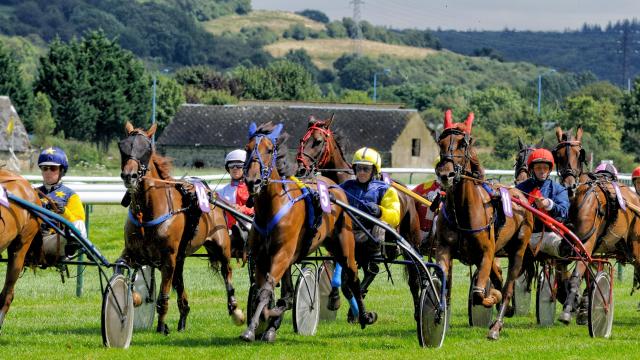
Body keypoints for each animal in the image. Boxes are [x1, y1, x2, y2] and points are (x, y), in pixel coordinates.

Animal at [117, 121, 242, 334]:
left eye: (147, 148)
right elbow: (120, 268)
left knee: (227, 272)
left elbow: (163, 297)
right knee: (180, 282)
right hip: (182, 256)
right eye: (123, 146)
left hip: (221, 244)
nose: (129, 176)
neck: (147, 213)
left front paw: (161, 326)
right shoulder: (132, 253)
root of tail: (210, 193)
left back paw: (234, 309)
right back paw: (183, 319)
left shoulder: (168, 258)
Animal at [239, 121, 370, 344]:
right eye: (247, 149)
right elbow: (263, 292)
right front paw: (265, 321)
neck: (271, 207)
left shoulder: (282, 253)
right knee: (288, 291)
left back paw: (363, 315)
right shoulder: (261, 257)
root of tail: (333, 185)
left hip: (344, 245)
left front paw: (254, 327)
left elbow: (266, 292)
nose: (252, 181)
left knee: (352, 276)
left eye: (269, 149)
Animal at [298, 114, 428, 318]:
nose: (301, 169)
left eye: (318, 141)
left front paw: (344, 301)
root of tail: (407, 193)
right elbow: (340, 271)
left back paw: (417, 310)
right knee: (372, 270)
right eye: (302, 141)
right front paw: (338, 298)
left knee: (413, 276)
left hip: (410, 239)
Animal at [436, 109, 536, 340]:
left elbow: (478, 295)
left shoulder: (486, 252)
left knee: (508, 285)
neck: (463, 210)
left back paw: (496, 325)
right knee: (498, 274)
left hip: (519, 247)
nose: (446, 174)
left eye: (463, 144)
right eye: (440, 142)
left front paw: (493, 298)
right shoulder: (445, 248)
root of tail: (522, 197)